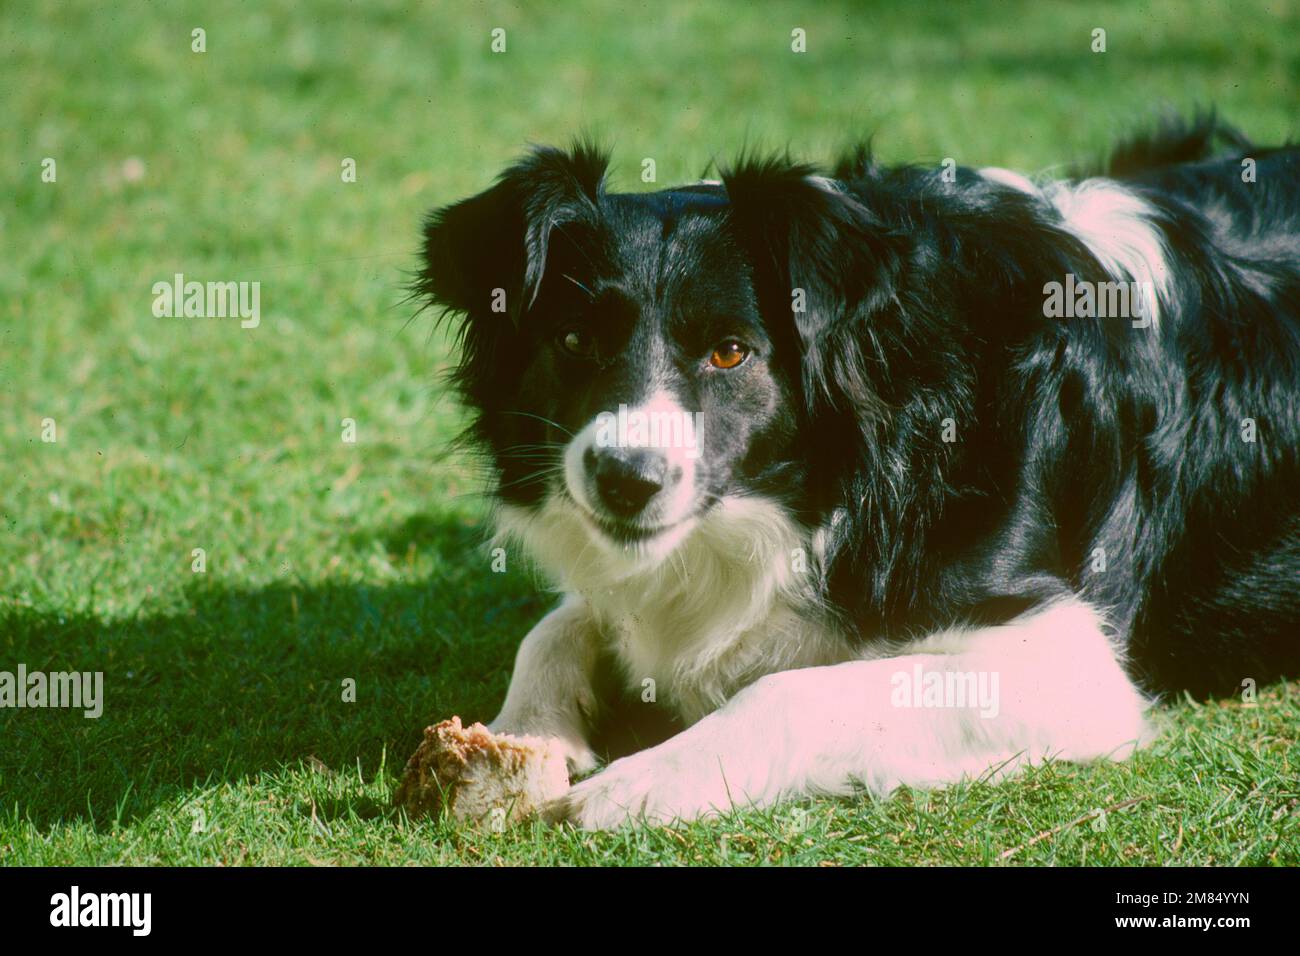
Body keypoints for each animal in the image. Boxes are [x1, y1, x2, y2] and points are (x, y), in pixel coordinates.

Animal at [418, 115, 1300, 827]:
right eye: (573, 342)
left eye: (730, 351)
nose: (624, 479)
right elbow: (557, 623)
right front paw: (526, 732)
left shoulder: (1069, 664)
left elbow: (787, 689)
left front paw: (636, 785)